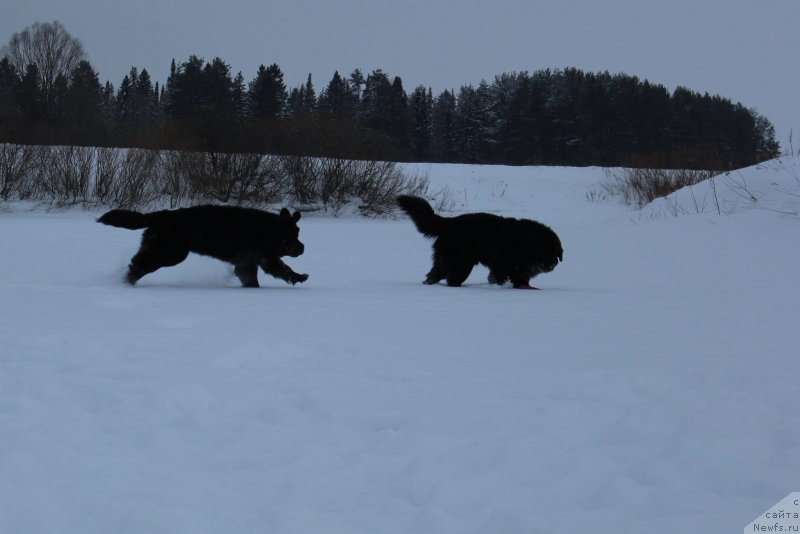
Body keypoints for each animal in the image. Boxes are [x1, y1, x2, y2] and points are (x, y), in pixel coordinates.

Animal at [97, 205, 310, 288]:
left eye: (298, 232)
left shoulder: (260, 260)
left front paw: (299, 277)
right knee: (138, 264)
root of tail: (157, 216)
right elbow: (275, 271)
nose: (303, 248)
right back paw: (127, 281)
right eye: (294, 235)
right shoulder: (253, 260)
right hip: (170, 252)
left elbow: (282, 269)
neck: (267, 230)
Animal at [396, 196, 564, 288]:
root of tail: (449, 222)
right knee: (452, 279)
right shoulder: (507, 267)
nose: (551, 265)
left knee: (433, 275)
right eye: (543, 251)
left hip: (444, 261)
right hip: (461, 262)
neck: (524, 244)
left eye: (555, 252)